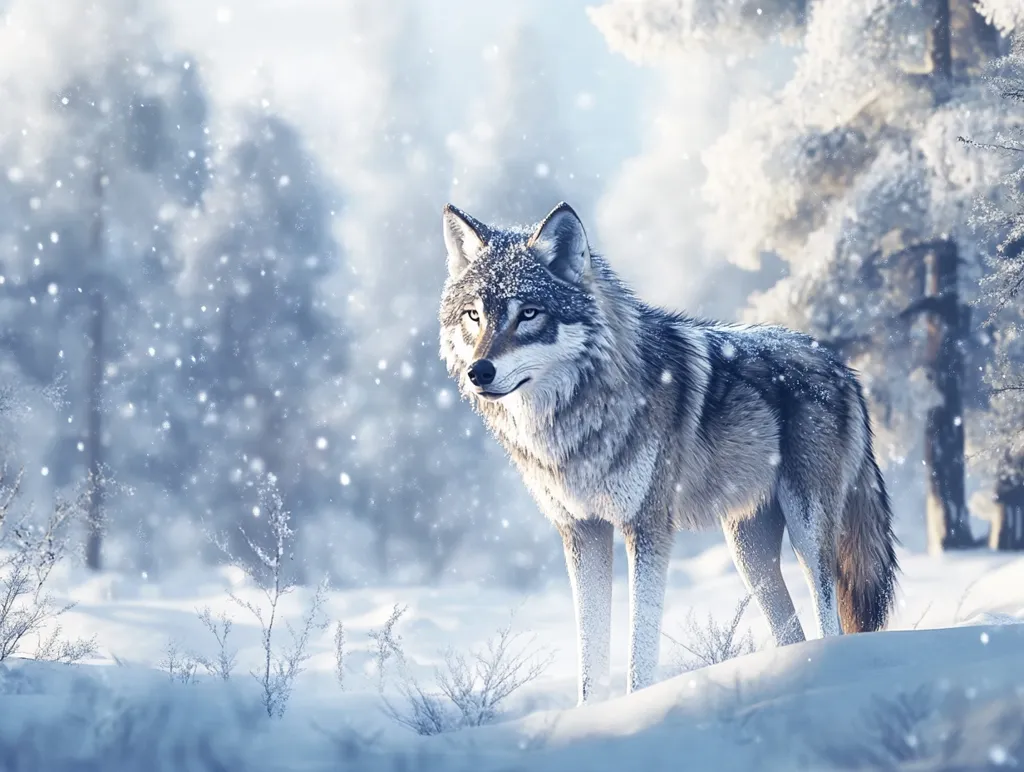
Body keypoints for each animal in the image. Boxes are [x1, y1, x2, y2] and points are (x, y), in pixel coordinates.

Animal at [438, 201, 899, 705]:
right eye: (474, 315)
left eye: (529, 313)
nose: (479, 372)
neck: (576, 419)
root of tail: (840, 366)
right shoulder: (581, 530)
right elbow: (590, 653)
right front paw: (590, 715)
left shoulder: (648, 527)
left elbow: (640, 645)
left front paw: (638, 706)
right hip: (748, 553)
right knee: (791, 632)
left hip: (807, 534)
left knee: (829, 619)